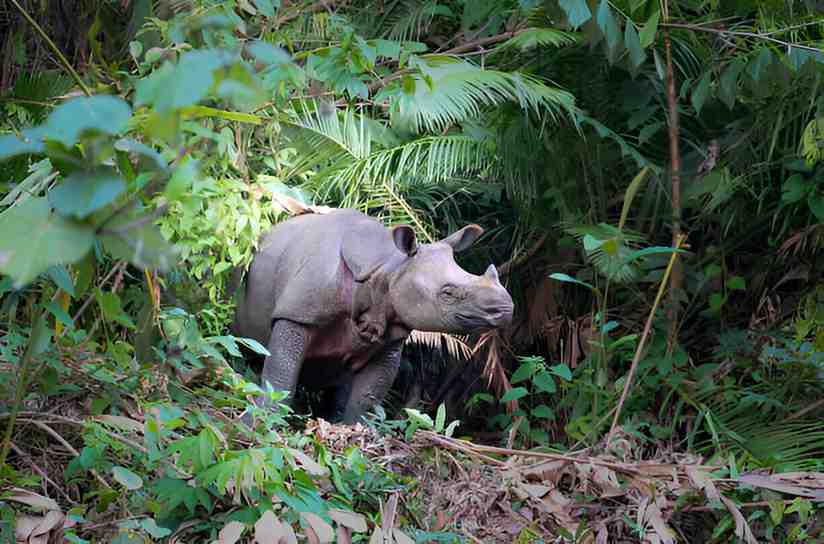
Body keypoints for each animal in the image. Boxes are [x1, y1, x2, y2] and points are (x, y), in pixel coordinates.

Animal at [231, 209, 514, 423]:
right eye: (448, 293)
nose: (506, 308)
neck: (389, 268)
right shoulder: (297, 313)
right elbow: (280, 376)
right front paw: (261, 422)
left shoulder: (389, 337)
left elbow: (366, 397)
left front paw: (353, 432)